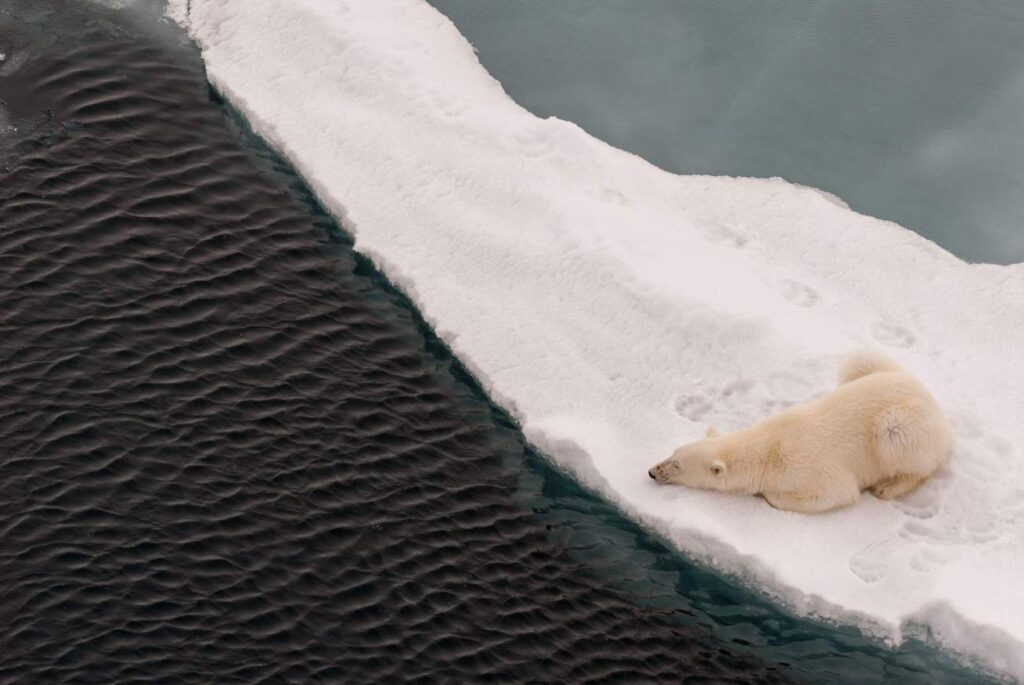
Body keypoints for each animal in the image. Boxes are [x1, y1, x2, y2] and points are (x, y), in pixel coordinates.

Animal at [647, 350, 950, 509]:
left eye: (677, 465)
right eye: (673, 452)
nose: (652, 472)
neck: (769, 448)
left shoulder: (808, 468)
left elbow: (835, 493)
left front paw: (766, 495)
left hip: (899, 426)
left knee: (905, 449)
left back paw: (888, 488)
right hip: (877, 370)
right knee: (861, 359)